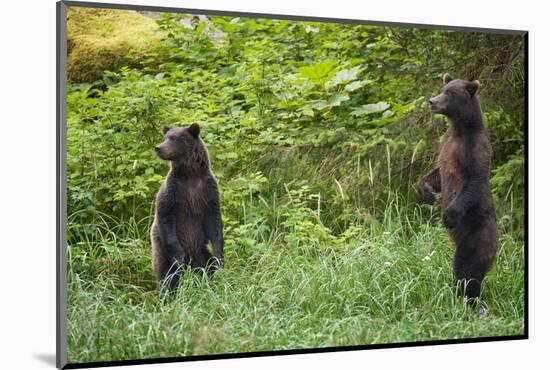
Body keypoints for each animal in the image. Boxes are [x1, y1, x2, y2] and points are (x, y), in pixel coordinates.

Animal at [151, 123, 224, 290]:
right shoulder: (173, 191)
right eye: (165, 138)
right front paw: (180, 255)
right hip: (162, 250)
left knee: (208, 266)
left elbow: (214, 222)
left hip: (201, 250)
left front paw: (219, 255)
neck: (190, 175)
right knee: (168, 275)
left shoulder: (208, 191)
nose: (158, 148)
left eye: (175, 138)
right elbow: (165, 217)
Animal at [420, 73, 502, 304]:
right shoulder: (446, 145)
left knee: (467, 270)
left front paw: (448, 216)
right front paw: (426, 191)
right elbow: (437, 172)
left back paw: (471, 301)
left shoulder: (474, 148)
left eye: (450, 93)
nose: (432, 101)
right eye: (442, 89)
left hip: (476, 236)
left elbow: (475, 179)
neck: (460, 128)